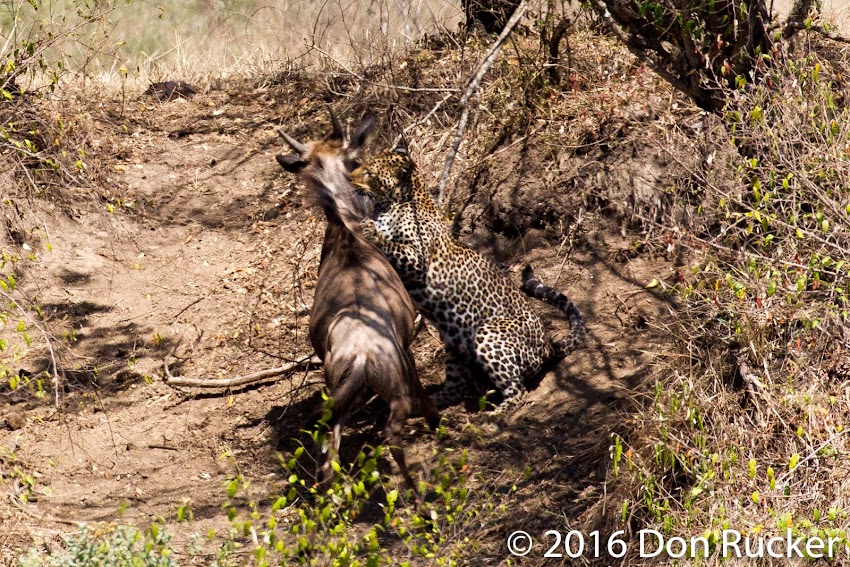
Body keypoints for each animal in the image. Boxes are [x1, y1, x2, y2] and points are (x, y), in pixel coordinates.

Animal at [346, 149, 584, 414]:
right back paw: (431, 401)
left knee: (517, 389)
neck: (391, 204)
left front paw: (371, 231)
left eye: (369, 172)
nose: (348, 176)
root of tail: (548, 345)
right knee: (456, 386)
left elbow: (393, 246)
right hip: (454, 343)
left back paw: (496, 414)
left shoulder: (417, 257)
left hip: (488, 334)